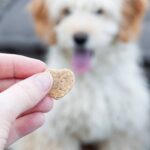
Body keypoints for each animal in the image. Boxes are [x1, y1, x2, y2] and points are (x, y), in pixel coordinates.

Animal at [12, 0, 150, 149]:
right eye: (66, 11)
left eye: (99, 11)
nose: (79, 38)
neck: (91, 78)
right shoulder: (56, 135)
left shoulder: (123, 134)